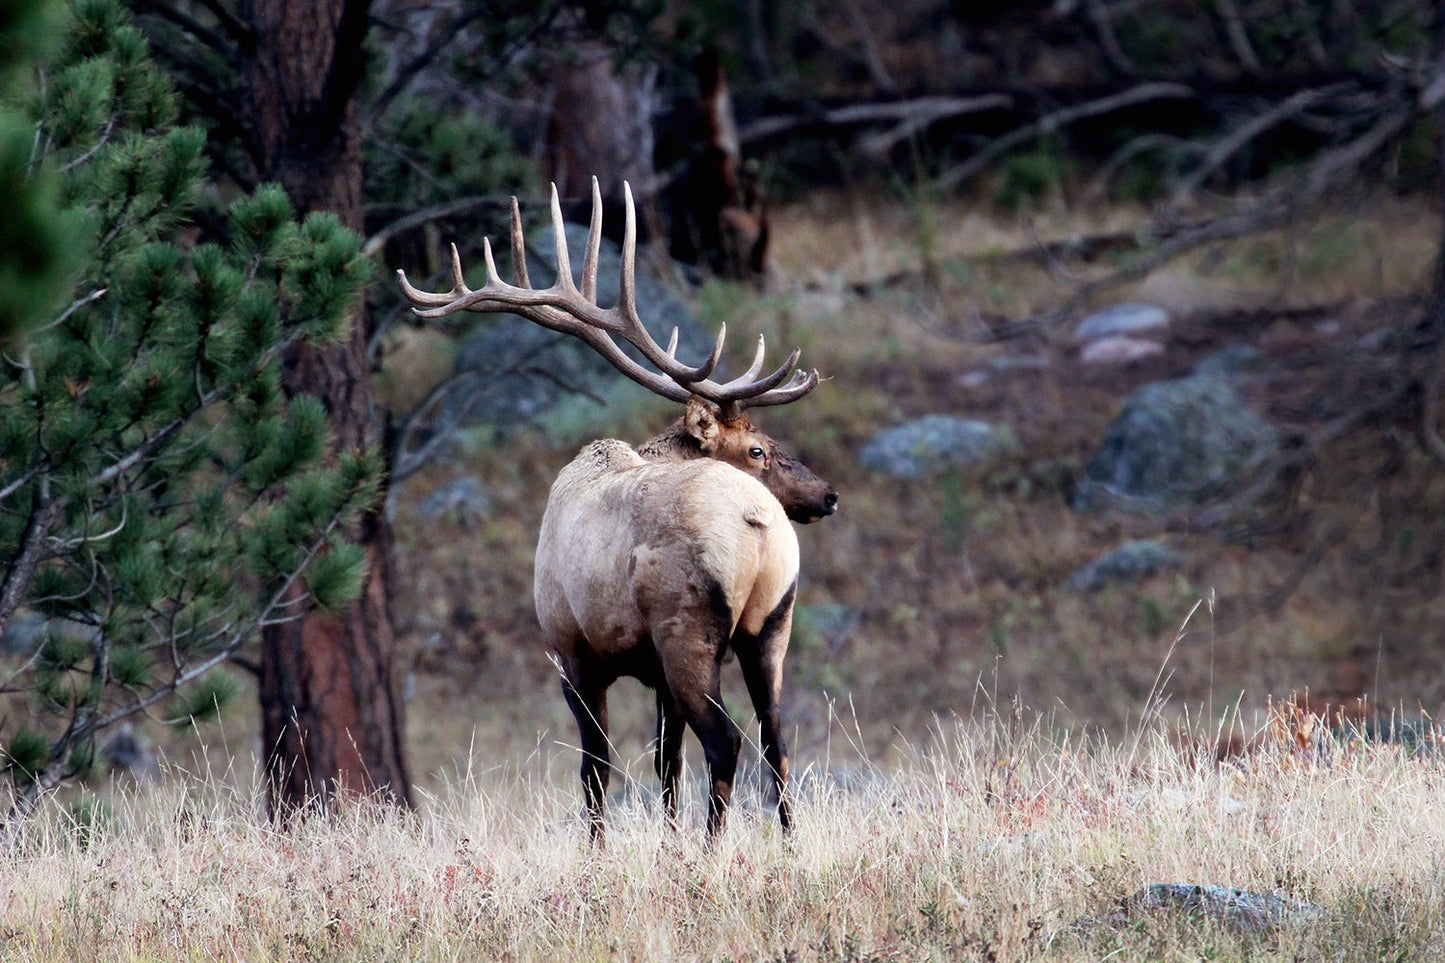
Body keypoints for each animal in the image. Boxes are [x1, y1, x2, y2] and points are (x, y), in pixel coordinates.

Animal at [401, 176, 843, 838]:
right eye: (759, 449)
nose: (827, 494)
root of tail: (761, 524)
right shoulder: (651, 672)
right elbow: (665, 764)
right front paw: (665, 842)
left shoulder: (571, 651)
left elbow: (597, 770)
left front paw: (600, 849)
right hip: (770, 628)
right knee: (776, 740)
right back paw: (787, 845)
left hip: (687, 630)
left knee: (727, 743)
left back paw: (713, 851)